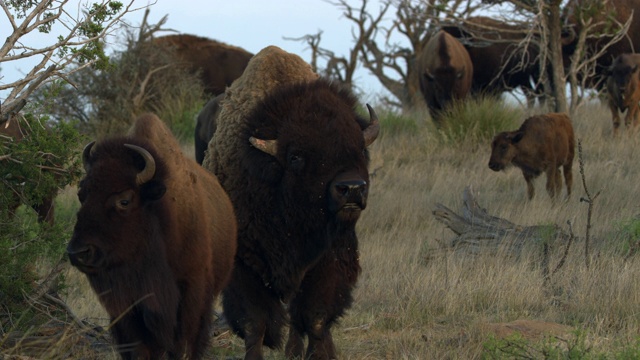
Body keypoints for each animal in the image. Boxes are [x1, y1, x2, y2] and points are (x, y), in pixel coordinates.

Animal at [67, 114, 238, 358]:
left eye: (125, 200)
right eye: (82, 195)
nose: (79, 252)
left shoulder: (191, 290)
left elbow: (184, 342)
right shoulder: (128, 306)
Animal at [202, 45, 378, 360]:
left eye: (360, 149)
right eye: (296, 156)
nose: (352, 189)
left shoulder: (328, 259)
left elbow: (316, 317)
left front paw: (320, 355)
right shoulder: (244, 263)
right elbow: (255, 322)